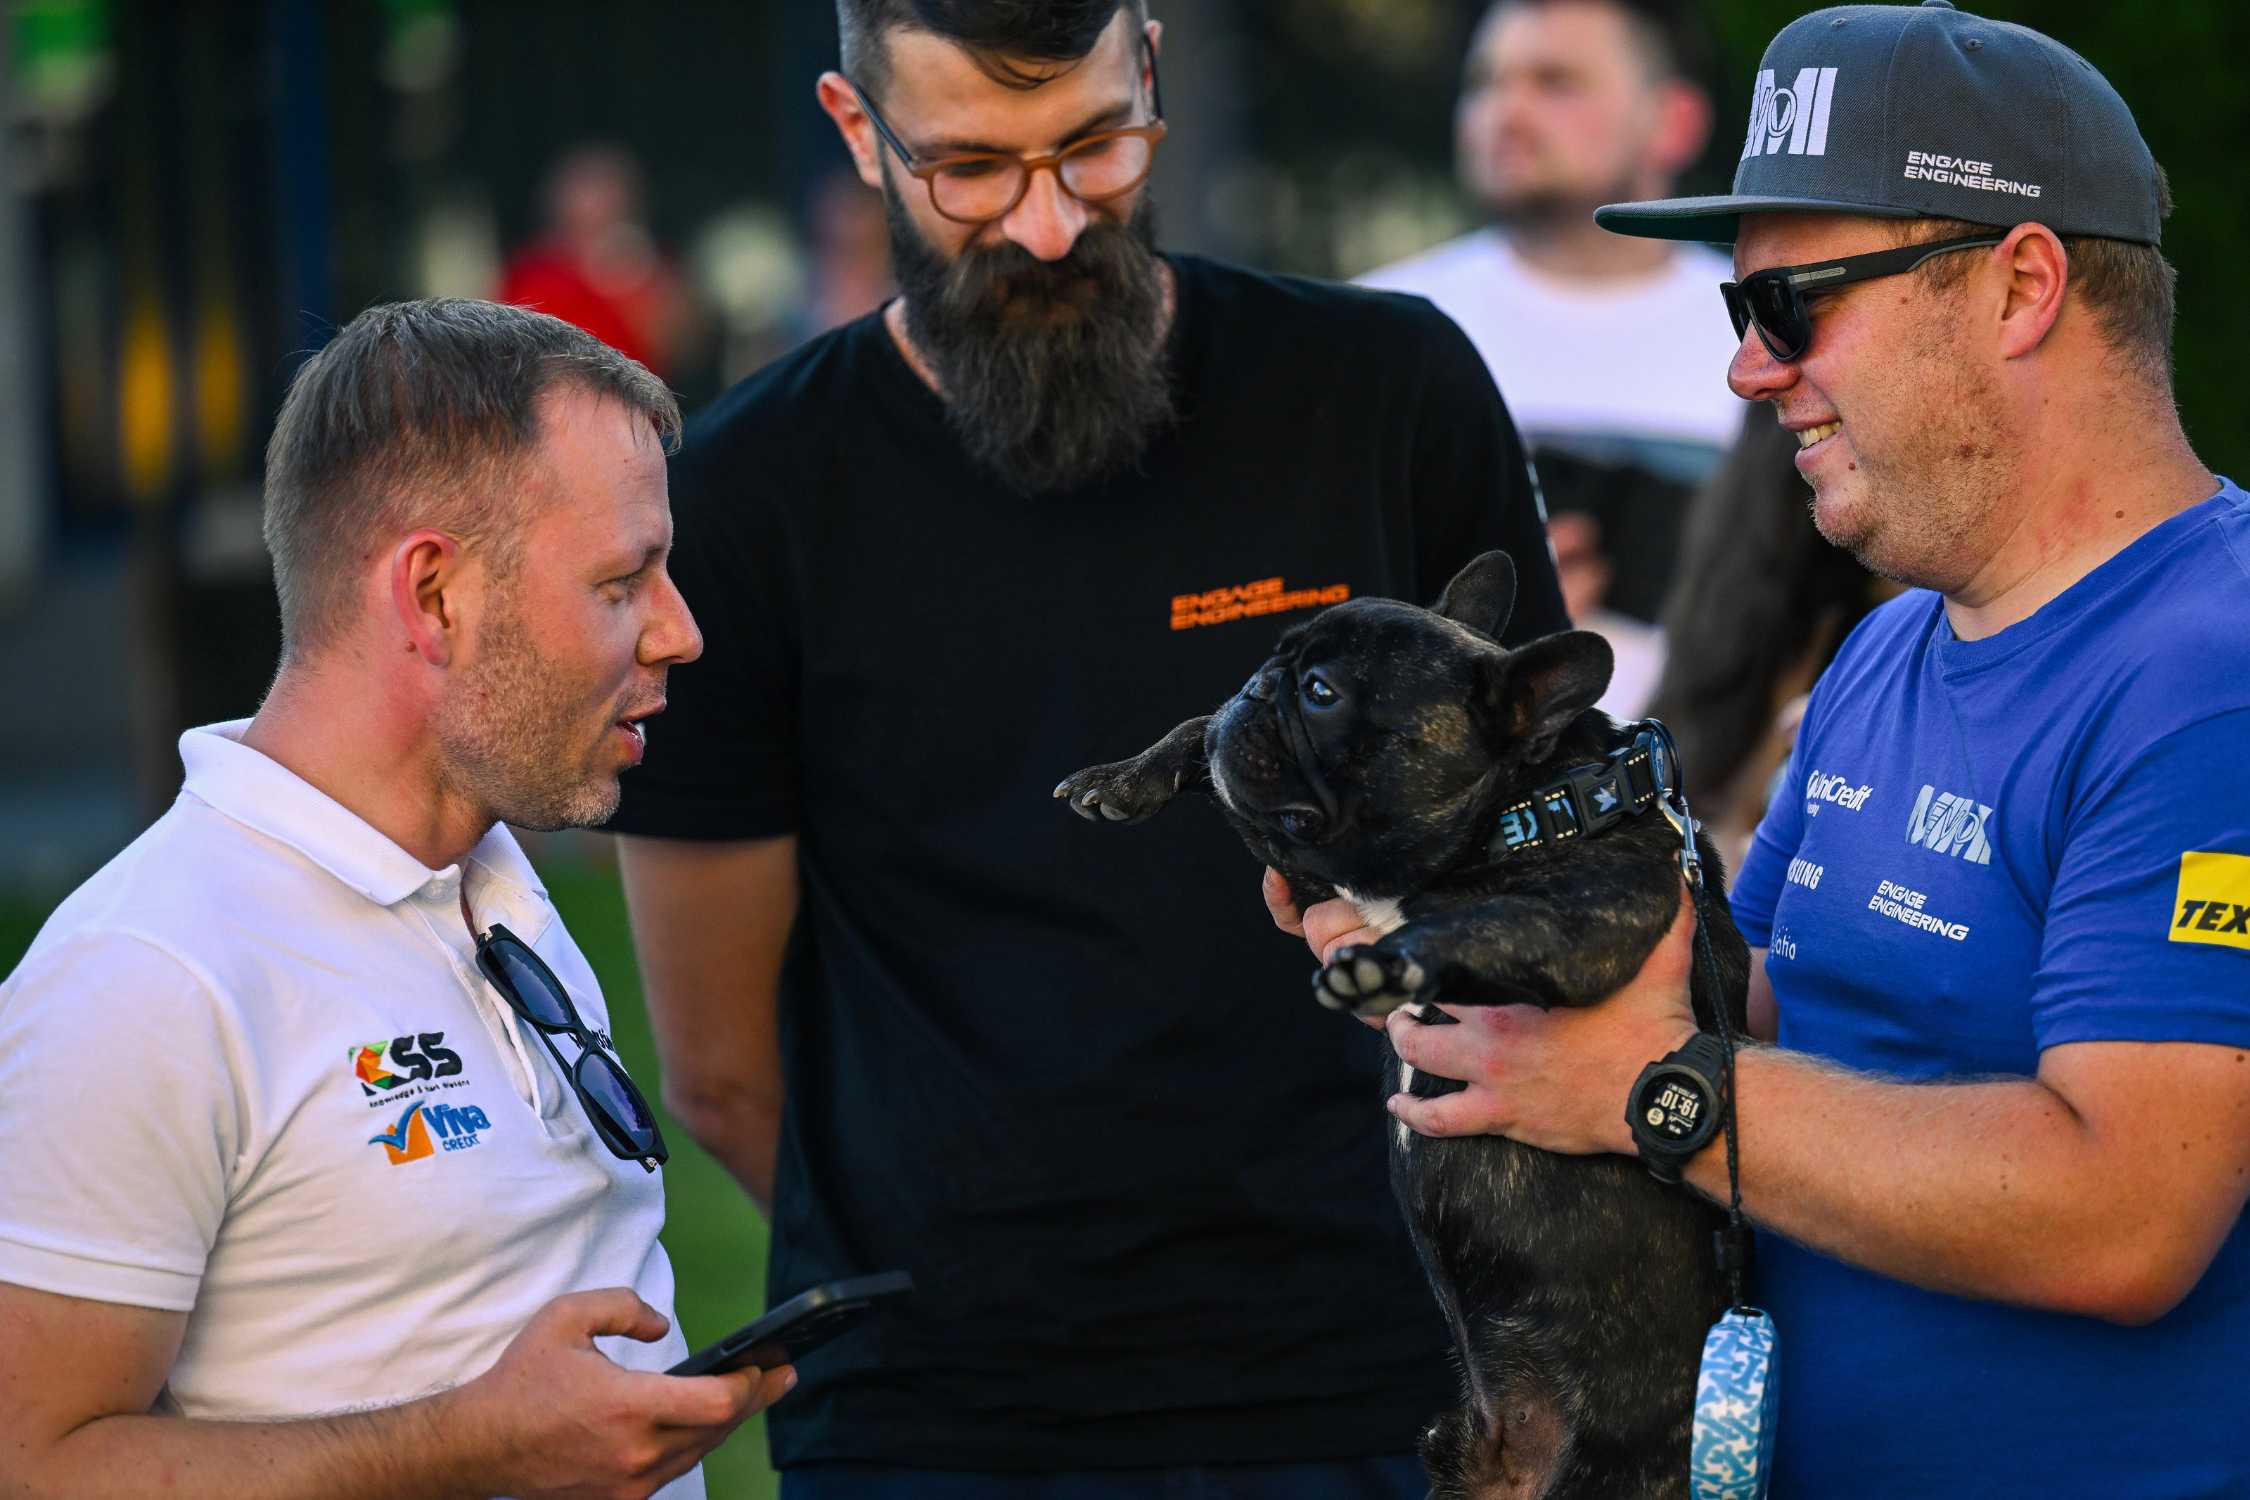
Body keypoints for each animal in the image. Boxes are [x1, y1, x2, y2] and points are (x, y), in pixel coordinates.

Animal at [1053, 550, 1750, 1500]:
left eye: (1319, 692)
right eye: (1276, 664)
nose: (1255, 684)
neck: (1531, 803)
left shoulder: (1590, 922)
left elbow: (1486, 923)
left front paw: (1389, 962)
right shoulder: (1317, 860)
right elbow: (1204, 739)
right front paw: (1123, 776)